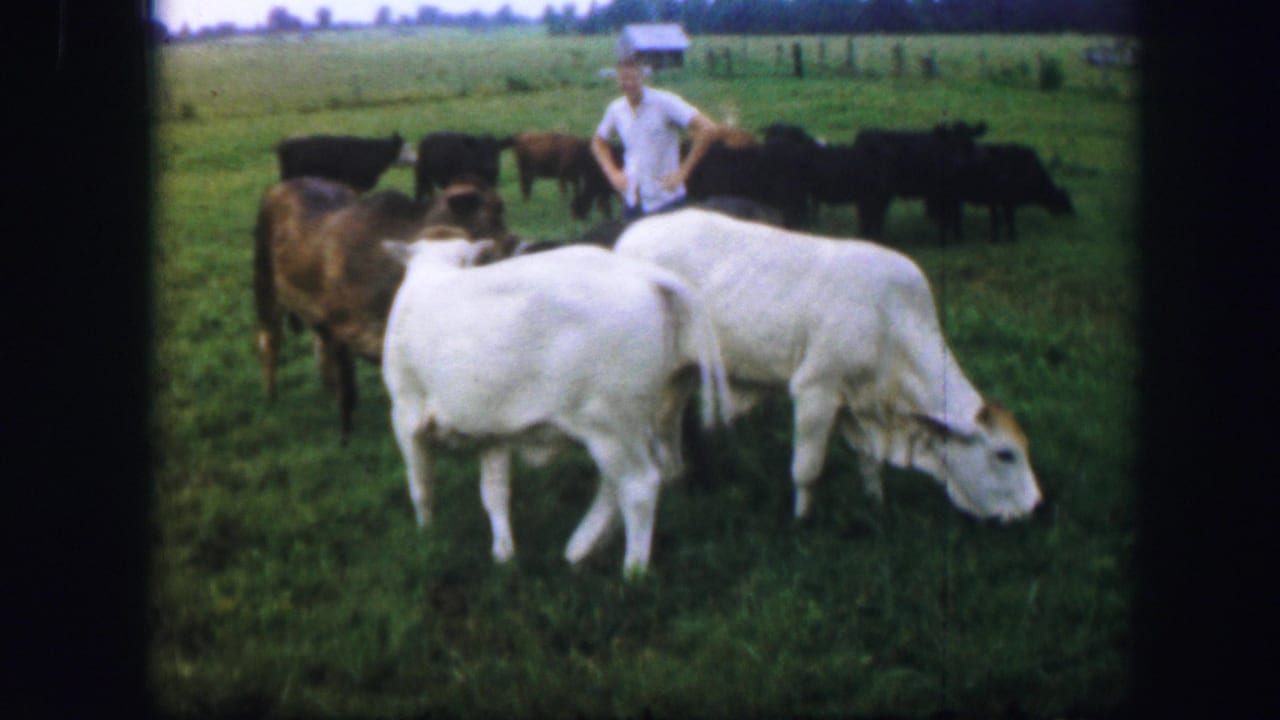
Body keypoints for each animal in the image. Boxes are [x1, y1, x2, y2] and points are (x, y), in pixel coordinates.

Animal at [253, 177, 512, 444]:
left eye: (500, 210)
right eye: (489, 215)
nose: (518, 243)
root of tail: (281, 186)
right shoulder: (340, 327)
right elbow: (349, 392)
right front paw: (345, 440)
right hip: (265, 284)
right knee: (268, 339)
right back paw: (271, 397)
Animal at [380, 239, 733, 577]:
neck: (432, 272)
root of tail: (644, 273)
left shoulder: (405, 415)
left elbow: (421, 486)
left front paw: (427, 537)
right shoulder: (491, 430)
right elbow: (494, 493)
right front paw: (503, 553)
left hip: (610, 422)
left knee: (639, 486)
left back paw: (632, 570)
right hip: (629, 420)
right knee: (618, 484)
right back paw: (582, 547)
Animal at [613, 208, 1043, 523]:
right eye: (1004, 454)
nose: (1037, 506)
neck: (891, 320)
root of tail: (630, 238)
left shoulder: (859, 401)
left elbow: (869, 462)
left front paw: (875, 503)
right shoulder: (815, 390)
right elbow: (807, 470)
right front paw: (802, 521)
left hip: (682, 369)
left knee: (667, 421)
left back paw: (676, 477)